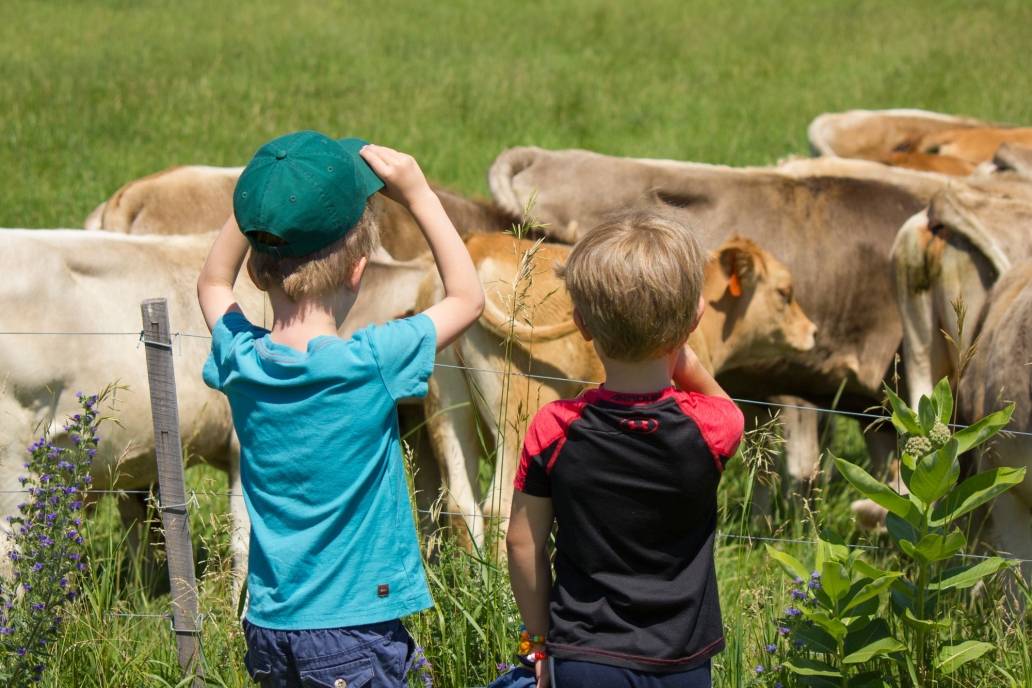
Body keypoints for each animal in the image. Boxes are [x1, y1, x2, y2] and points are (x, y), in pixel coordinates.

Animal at [417, 232, 817, 548]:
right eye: (785, 293)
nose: (812, 331)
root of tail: (480, 241)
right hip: (518, 412)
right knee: (500, 507)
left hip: (446, 407)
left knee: (460, 505)